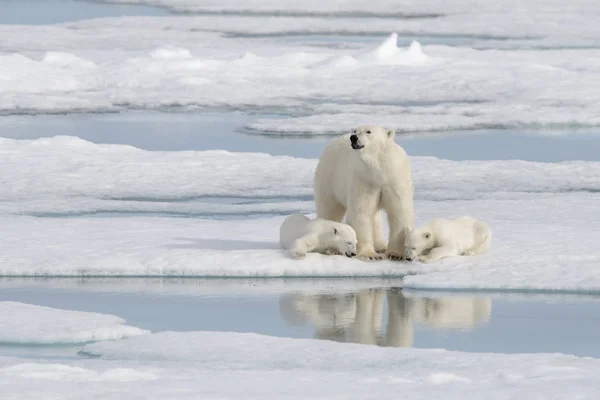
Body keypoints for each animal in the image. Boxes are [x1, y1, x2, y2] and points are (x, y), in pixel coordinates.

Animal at [314, 126, 412, 262]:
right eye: (355, 131)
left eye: (368, 131)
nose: (353, 138)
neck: (378, 170)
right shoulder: (363, 179)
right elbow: (361, 211)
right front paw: (370, 254)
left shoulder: (394, 178)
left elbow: (399, 210)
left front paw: (395, 254)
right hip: (330, 179)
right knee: (329, 210)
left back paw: (380, 246)